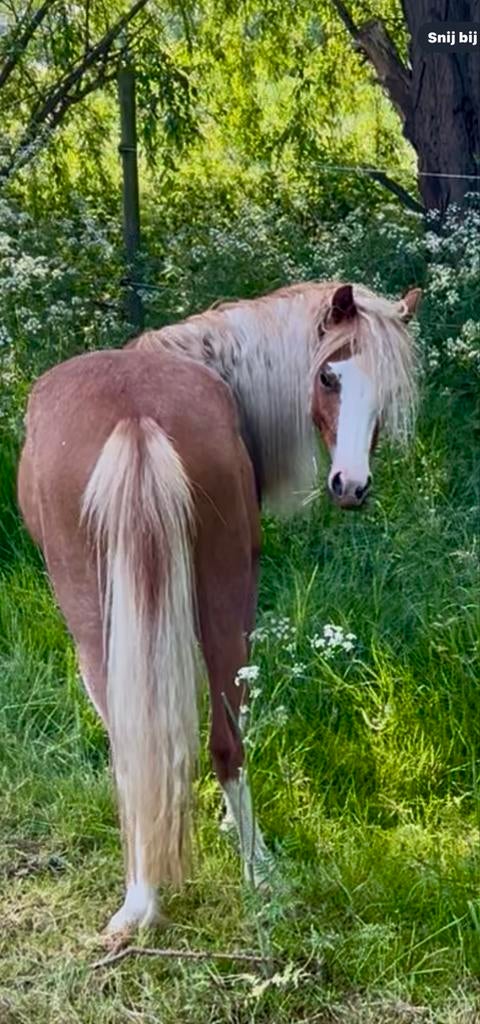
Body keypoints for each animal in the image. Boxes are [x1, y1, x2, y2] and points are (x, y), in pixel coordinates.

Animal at [17, 280, 421, 939]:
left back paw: (168, 889)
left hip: (116, 614)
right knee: (215, 740)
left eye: (384, 390)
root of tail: (135, 415)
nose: (351, 485)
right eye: (329, 376)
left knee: (163, 746)